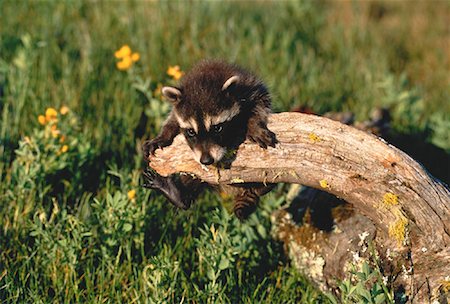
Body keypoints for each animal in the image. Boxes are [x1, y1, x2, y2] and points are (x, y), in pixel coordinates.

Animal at [142, 60, 276, 221]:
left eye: (217, 128)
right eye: (191, 132)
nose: (206, 160)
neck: (205, 78)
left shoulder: (251, 87)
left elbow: (260, 104)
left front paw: (255, 125)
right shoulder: (177, 111)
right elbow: (171, 120)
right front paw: (162, 136)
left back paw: (264, 186)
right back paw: (178, 195)